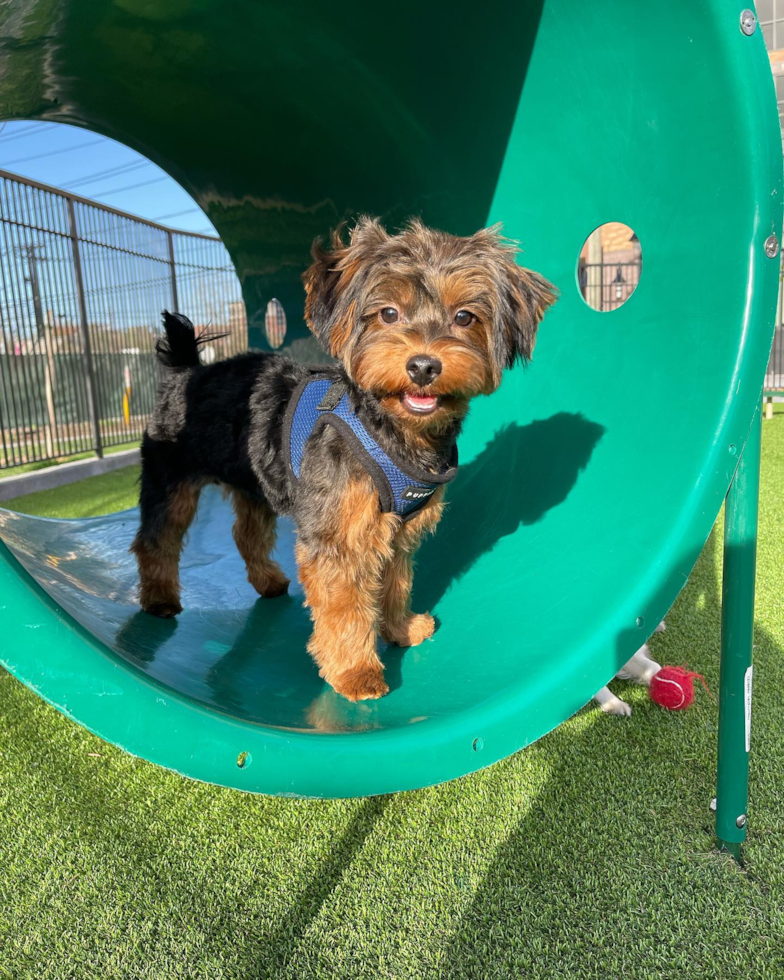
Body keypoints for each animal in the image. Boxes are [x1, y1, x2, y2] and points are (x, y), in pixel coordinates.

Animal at [130, 218, 556, 700]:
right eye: (387, 313)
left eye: (464, 317)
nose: (423, 366)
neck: (393, 431)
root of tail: (188, 371)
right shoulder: (339, 536)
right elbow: (346, 607)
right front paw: (356, 671)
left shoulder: (398, 530)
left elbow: (396, 582)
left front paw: (400, 628)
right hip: (171, 480)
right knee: (155, 539)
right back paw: (159, 598)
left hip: (257, 485)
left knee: (246, 534)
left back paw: (267, 580)